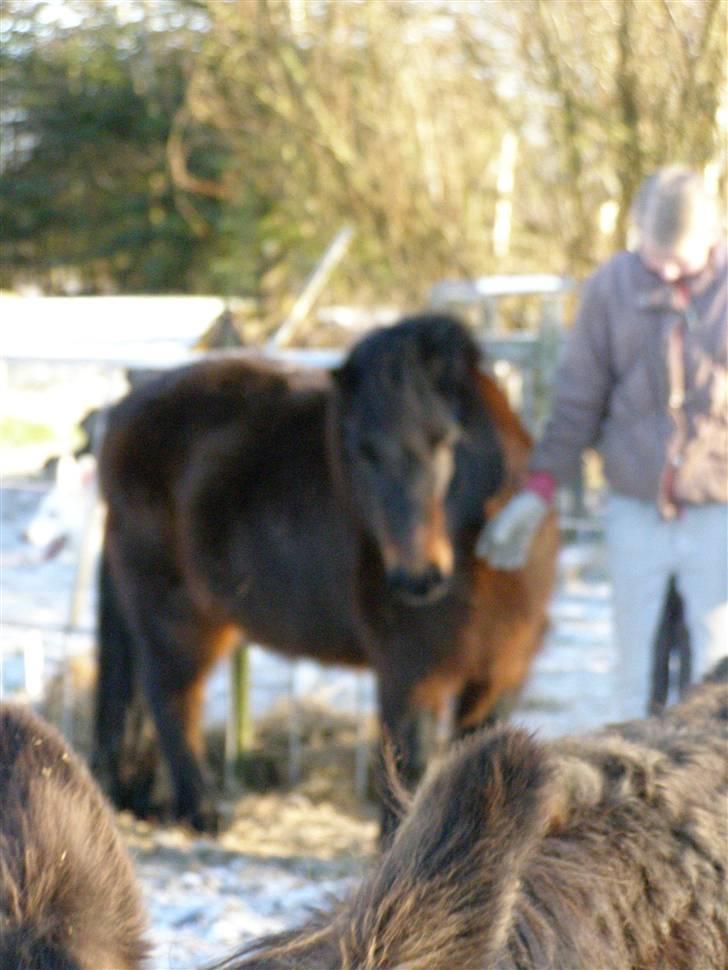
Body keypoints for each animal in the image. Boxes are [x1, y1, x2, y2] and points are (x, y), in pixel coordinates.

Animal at [94, 314, 556, 836]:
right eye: (360, 451)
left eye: (446, 438)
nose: (416, 577)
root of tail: (122, 416)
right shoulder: (411, 673)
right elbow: (409, 769)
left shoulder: (503, 671)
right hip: (174, 618)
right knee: (171, 700)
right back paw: (202, 812)